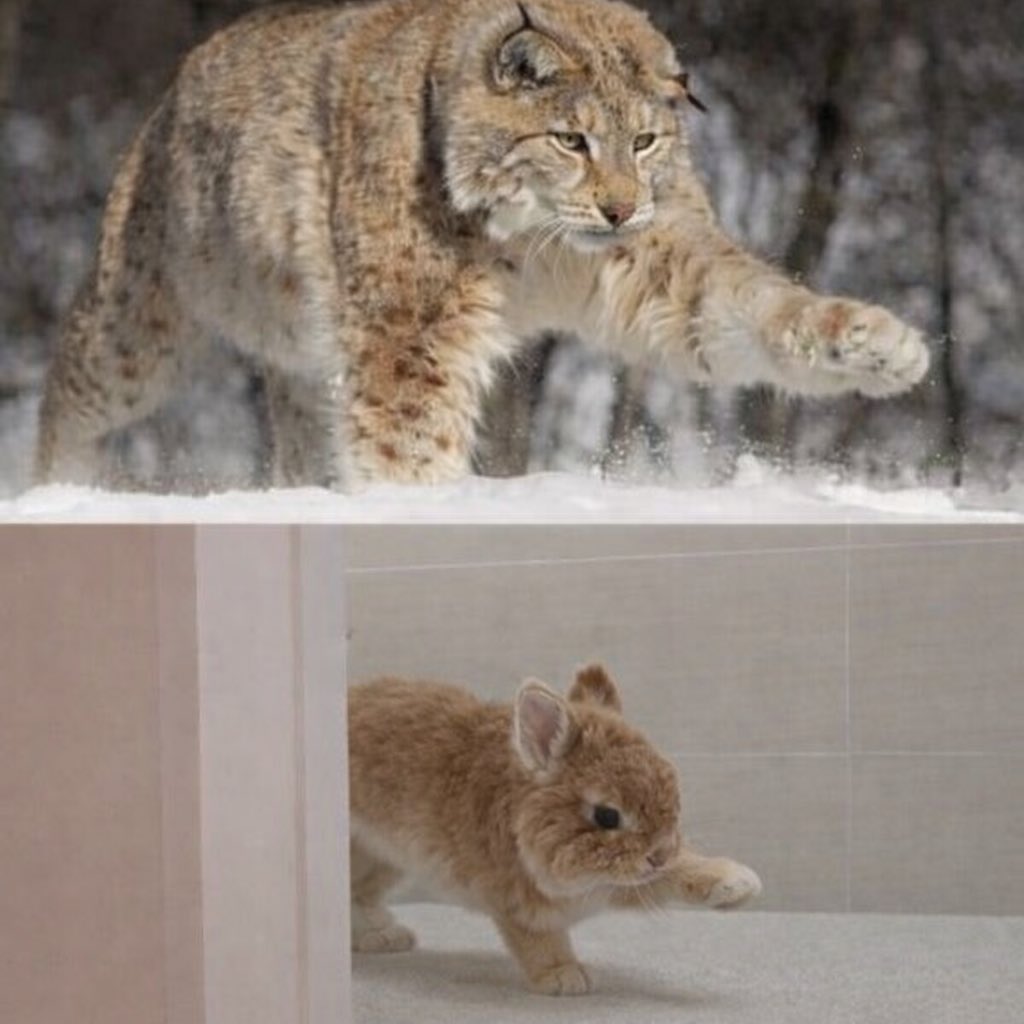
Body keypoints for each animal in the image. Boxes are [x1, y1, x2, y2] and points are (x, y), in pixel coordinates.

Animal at [347, 665, 763, 995]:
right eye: (607, 816)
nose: (659, 855)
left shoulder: (617, 882)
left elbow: (676, 873)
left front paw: (735, 884)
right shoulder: (520, 904)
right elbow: (539, 940)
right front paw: (564, 977)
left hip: (382, 860)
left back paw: (384, 935)